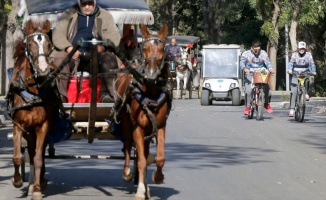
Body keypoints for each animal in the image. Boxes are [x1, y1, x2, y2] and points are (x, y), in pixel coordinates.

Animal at [6, 19, 58, 199]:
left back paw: (39, 182)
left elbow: (38, 158)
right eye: (30, 44)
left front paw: (36, 189)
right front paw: (17, 181)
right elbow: (17, 157)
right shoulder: (18, 126)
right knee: (29, 148)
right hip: (28, 131)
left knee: (38, 153)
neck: (34, 92)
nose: (43, 69)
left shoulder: (44, 126)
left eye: (49, 45)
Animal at [112, 24, 171, 199]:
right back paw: (127, 173)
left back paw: (146, 187)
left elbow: (159, 158)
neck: (150, 91)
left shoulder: (160, 126)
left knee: (142, 151)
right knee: (127, 145)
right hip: (126, 122)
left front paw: (157, 177)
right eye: (144, 48)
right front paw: (139, 191)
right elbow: (141, 161)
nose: (151, 74)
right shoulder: (137, 127)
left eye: (162, 48)